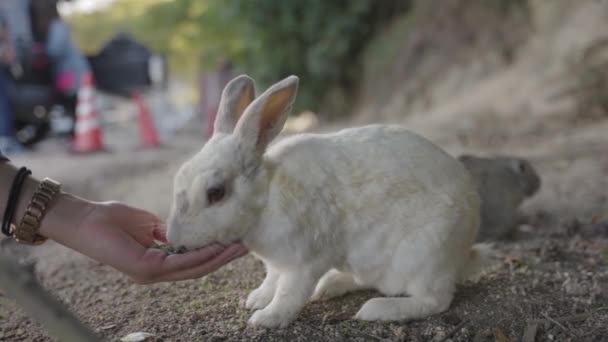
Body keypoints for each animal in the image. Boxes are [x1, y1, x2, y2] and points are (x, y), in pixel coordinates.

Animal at [166, 74, 490, 328]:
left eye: (215, 193)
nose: (174, 240)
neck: (266, 198)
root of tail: (463, 252)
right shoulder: (276, 264)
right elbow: (271, 281)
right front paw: (256, 299)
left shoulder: (302, 263)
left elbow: (288, 294)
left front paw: (266, 318)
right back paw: (330, 286)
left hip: (423, 256)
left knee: (435, 299)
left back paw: (375, 310)